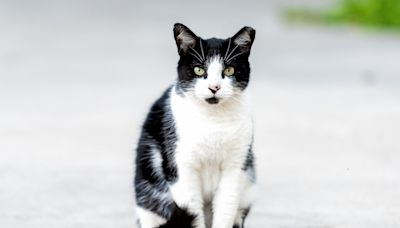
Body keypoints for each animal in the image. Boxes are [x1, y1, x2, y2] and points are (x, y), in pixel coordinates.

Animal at [135, 22, 256, 228]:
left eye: (229, 70)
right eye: (199, 70)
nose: (214, 87)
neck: (213, 120)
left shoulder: (235, 165)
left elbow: (226, 207)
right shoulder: (181, 166)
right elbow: (192, 211)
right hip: (147, 188)